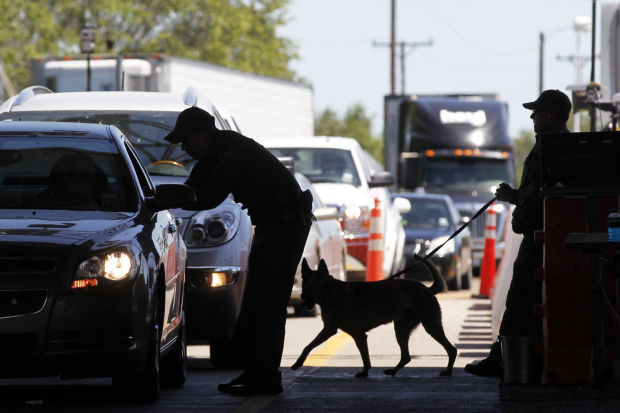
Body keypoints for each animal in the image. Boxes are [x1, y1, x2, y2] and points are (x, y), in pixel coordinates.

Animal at [290, 258, 456, 376]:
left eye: (304, 285)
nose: (302, 296)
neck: (328, 288)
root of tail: (427, 289)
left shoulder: (329, 330)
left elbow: (308, 346)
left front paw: (298, 363)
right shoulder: (359, 335)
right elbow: (365, 357)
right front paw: (365, 373)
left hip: (430, 326)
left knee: (452, 349)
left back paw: (448, 371)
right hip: (401, 329)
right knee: (406, 356)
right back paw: (393, 371)